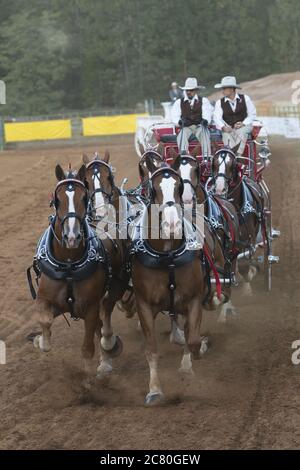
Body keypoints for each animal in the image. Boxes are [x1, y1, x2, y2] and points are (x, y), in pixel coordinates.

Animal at [32, 163, 120, 380]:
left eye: (83, 197)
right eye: (57, 200)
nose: (71, 236)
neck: (69, 266)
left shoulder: (90, 307)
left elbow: (88, 347)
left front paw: (88, 378)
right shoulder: (44, 298)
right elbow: (44, 319)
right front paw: (40, 341)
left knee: (102, 324)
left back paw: (107, 355)